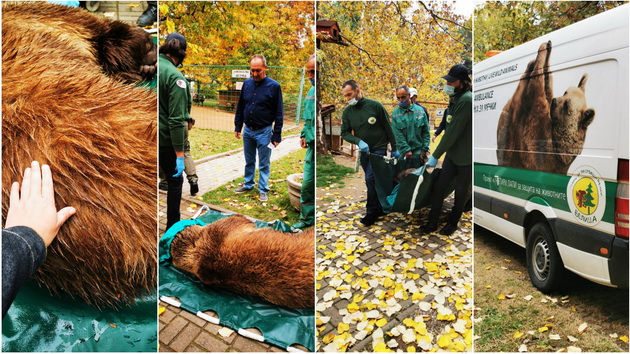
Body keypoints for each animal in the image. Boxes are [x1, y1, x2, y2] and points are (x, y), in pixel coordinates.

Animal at [498, 41, 596, 174]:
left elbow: (536, 89)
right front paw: (546, 49)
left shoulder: (540, 144)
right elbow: (546, 85)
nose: (554, 101)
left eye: (567, 105)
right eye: (565, 92)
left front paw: (542, 51)